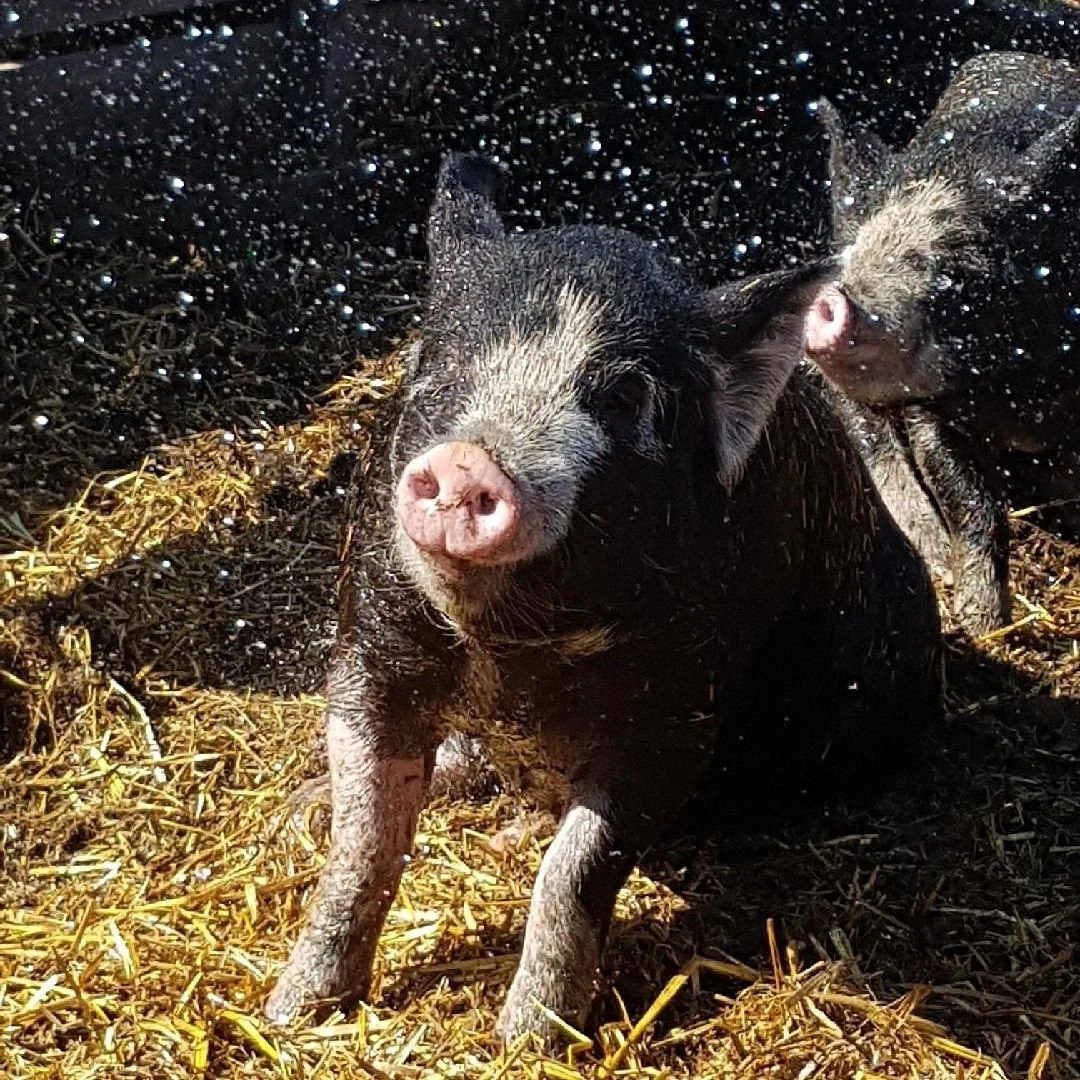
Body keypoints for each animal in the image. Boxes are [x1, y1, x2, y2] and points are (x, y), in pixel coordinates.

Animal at [264, 152, 943, 1050]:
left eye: (621, 398)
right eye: (442, 366)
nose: (469, 463)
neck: (509, 658)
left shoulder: (678, 715)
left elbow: (574, 868)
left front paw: (530, 1041)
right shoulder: (368, 654)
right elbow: (364, 842)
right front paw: (293, 1010)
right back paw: (302, 812)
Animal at [803, 51, 1080, 636]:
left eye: (962, 255)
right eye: (858, 244)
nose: (836, 296)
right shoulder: (931, 412)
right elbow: (972, 504)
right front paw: (981, 624)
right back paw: (930, 554)